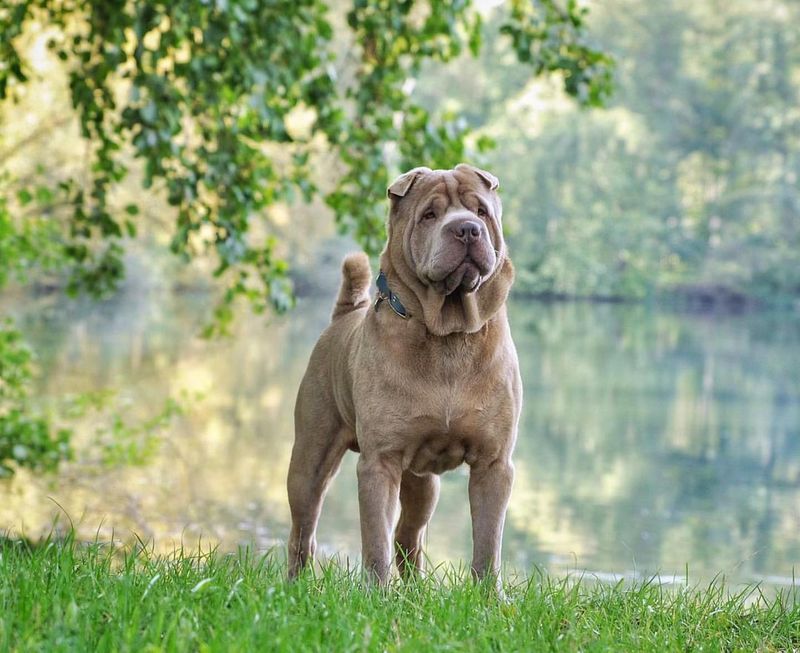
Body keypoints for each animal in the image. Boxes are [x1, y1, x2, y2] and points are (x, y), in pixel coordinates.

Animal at [288, 163, 524, 584]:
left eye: (481, 211)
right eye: (429, 215)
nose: (467, 229)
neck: (447, 334)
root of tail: (343, 315)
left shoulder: (494, 463)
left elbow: (487, 545)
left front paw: (488, 595)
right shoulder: (380, 462)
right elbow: (375, 542)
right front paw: (376, 592)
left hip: (423, 483)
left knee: (407, 534)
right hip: (309, 458)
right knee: (304, 530)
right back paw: (294, 585)